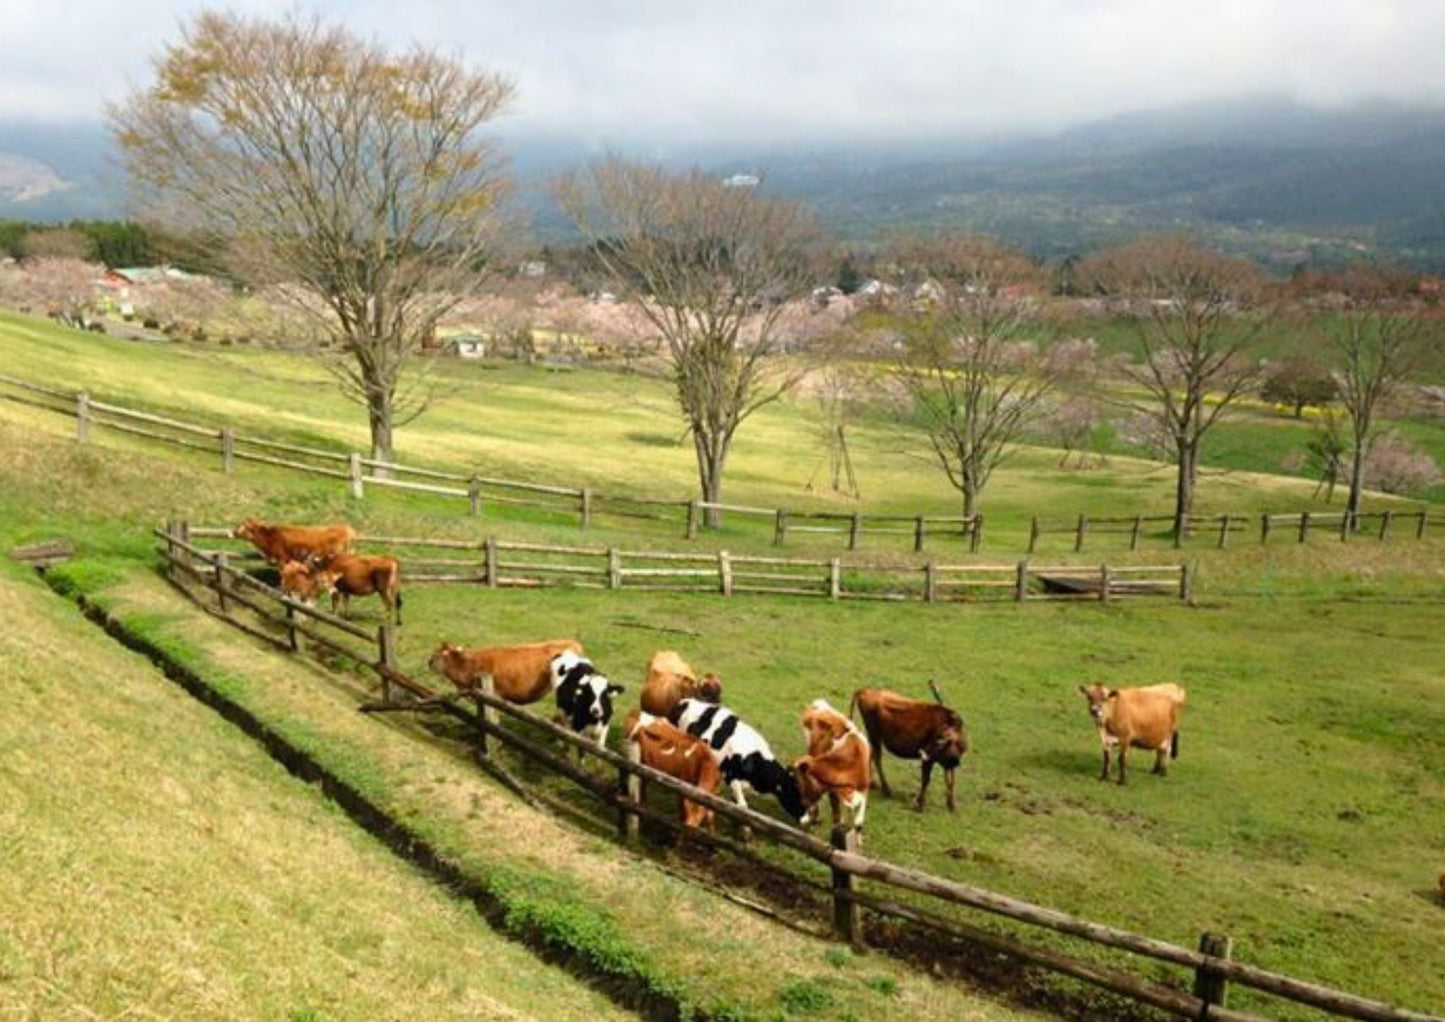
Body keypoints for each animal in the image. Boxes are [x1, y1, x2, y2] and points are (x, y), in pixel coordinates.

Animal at [791, 699, 867, 838]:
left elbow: (858, 822)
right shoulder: (831, 790)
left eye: (799, 783)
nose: (803, 804)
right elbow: (835, 811)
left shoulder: (863, 790)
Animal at [843, 690, 971, 809]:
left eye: (939, 742)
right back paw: (886, 789)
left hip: (874, 736)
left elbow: (951, 779)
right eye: (937, 738)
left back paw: (873, 783)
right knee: (877, 758)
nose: (923, 751)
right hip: (874, 734)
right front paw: (920, 804)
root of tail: (866, 690)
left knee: (871, 754)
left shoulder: (945, 761)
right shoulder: (929, 760)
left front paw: (951, 804)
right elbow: (926, 780)